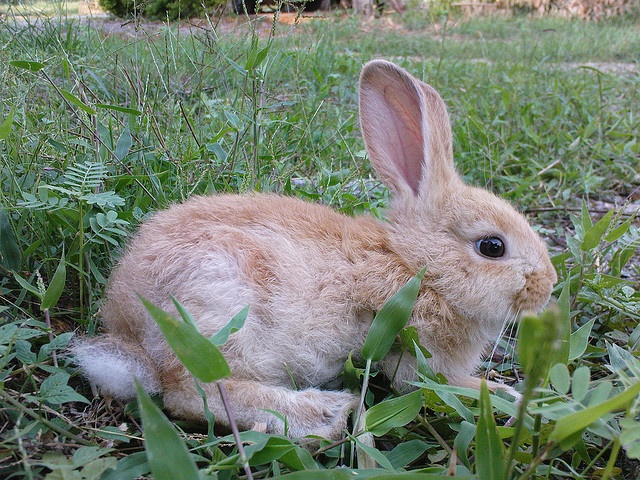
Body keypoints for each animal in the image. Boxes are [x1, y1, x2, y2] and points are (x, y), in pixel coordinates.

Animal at [74, 61, 556, 442]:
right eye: (491, 246)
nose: (548, 286)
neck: (416, 265)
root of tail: (126, 319)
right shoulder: (413, 353)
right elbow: (427, 383)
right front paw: (503, 394)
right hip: (220, 309)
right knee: (195, 391)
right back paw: (324, 413)